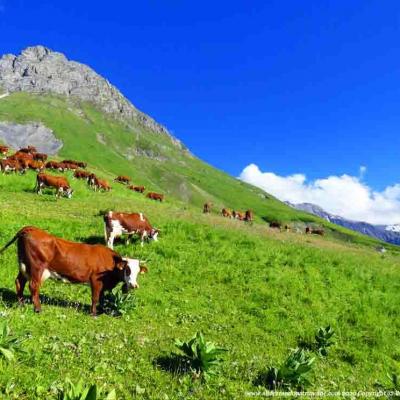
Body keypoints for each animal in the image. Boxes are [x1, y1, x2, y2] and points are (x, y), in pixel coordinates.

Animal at [0, 225, 148, 316]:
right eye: (127, 270)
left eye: (138, 272)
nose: (134, 285)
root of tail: (31, 228)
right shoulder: (95, 280)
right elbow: (95, 297)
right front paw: (93, 313)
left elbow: (101, 297)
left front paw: (100, 311)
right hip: (37, 268)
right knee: (33, 286)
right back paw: (38, 309)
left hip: (24, 266)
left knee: (19, 282)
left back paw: (21, 304)